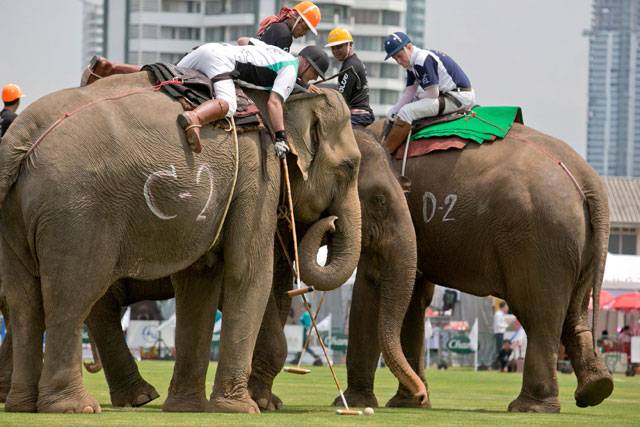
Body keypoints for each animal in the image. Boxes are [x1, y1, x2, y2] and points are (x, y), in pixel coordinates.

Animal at [0, 71, 362, 414]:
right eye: (349, 167)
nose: (331, 222)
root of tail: (21, 136)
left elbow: (198, 281)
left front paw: (188, 407)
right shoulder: (258, 176)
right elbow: (248, 273)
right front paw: (239, 409)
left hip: (18, 214)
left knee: (24, 303)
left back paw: (25, 404)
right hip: (78, 214)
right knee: (72, 297)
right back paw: (78, 406)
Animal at [338, 120, 612, 414]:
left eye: (379, 200)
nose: (420, 396)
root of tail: (589, 180)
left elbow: (370, 285)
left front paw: (356, 402)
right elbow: (413, 296)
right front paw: (410, 403)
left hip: (540, 242)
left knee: (540, 314)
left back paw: (530, 407)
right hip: (579, 246)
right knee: (574, 313)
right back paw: (596, 388)